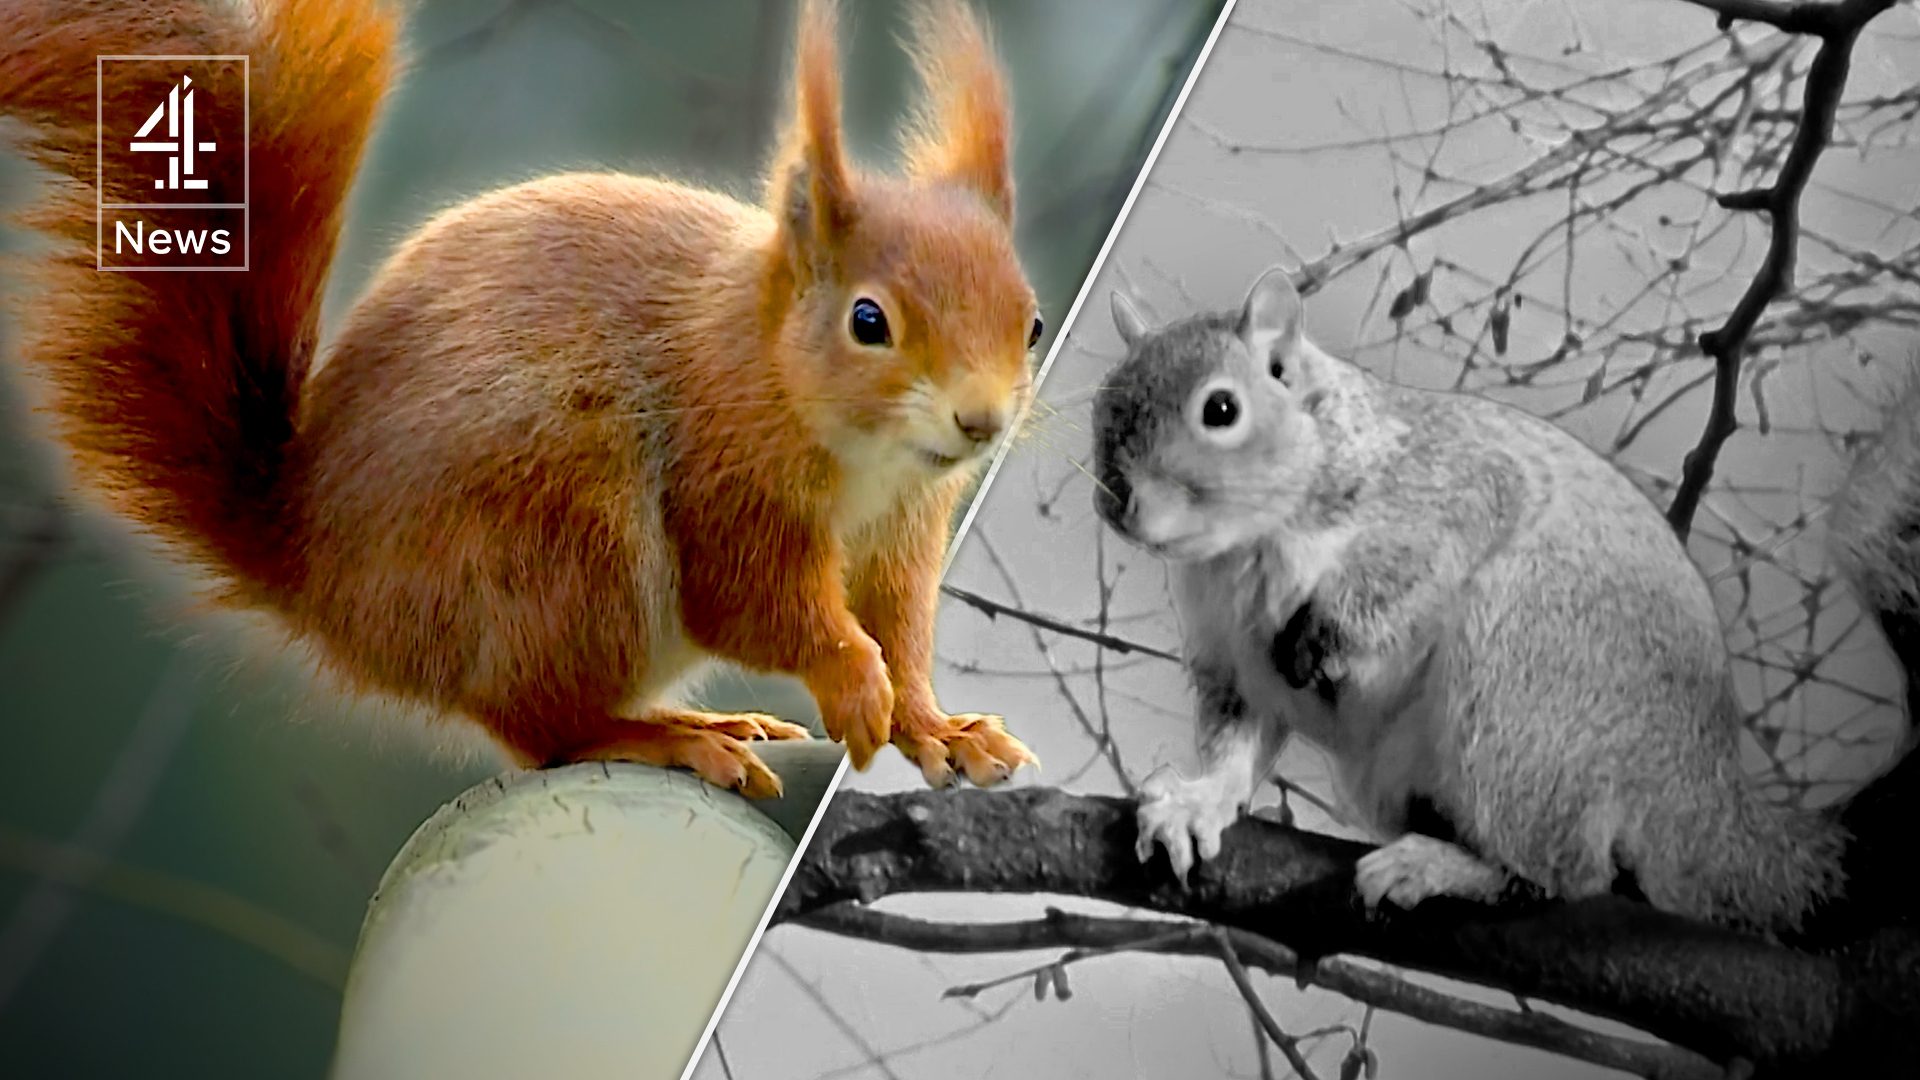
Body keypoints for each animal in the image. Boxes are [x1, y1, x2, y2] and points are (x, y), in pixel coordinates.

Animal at [0, 0, 1040, 798]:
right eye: (869, 321)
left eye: (1031, 325)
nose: (980, 421)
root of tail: (314, 570)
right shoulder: (726, 476)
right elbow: (753, 601)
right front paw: (853, 683)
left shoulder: (904, 532)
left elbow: (902, 629)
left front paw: (935, 727)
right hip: (567, 550)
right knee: (540, 728)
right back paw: (666, 736)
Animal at [1086, 264, 1920, 935]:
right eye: (1103, 404)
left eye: (1221, 410)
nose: (1118, 504)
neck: (1244, 548)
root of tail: (1700, 796)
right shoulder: (1232, 662)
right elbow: (1237, 741)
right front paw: (1197, 804)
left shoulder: (1453, 495)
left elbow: (1403, 577)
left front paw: (1329, 634)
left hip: (1522, 689)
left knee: (1568, 874)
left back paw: (1441, 871)